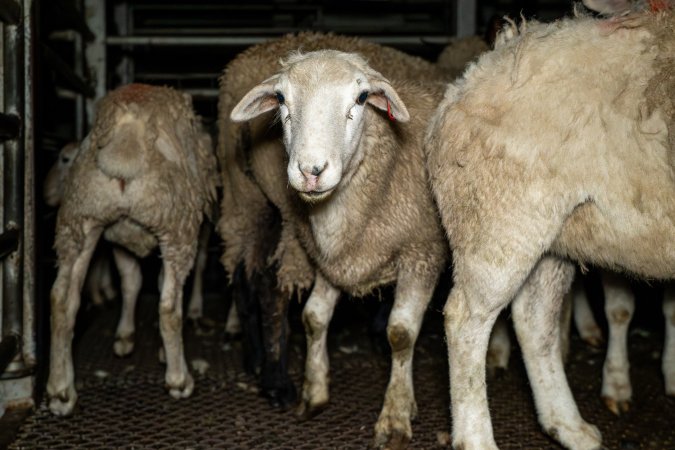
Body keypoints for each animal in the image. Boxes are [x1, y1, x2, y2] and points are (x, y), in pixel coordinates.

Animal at [47, 83, 217, 414]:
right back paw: (179, 380)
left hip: (80, 218)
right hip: (176, 224)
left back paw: (60, 390)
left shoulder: (118, 236)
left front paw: (125, 337)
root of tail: (128, 126)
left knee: (62, 298)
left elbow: (131, 283)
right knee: (168, 306)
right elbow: (172, 282)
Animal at [230, 47, 452, 448]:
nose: (311, 170)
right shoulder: (329, 260)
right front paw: (314, 393)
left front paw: (395, 416)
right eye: (281, 98)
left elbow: (401, 333)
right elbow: (314, 317)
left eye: (362, 98)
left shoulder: (422, 253)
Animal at [426, 6, 675, 450]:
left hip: (556, 234)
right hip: (500, 222)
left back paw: (568, 426)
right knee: (465, 319)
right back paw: (477, 437)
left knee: (534, 319)